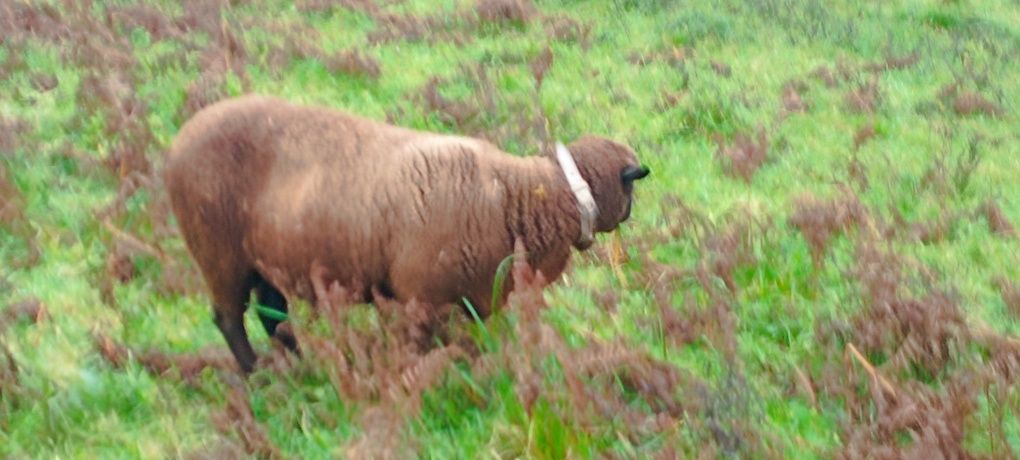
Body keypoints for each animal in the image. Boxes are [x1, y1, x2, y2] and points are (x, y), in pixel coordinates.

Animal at [163, 94, 648, 375]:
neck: (519, 195)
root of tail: (179, 140)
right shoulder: (422, 300)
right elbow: (423, 354)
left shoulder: (470, 302)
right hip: (219, 257)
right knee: (229, 318)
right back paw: (257, 375)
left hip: (267, 263)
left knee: (272, 315)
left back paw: (303, 365)